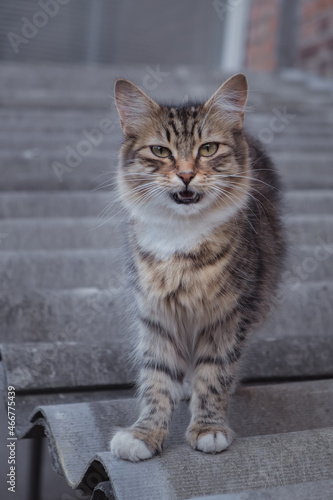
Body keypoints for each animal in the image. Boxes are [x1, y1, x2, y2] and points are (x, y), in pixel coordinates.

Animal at [108, 73, 282, 460]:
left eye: (208, 149)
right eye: (160, 151)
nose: (186, 175)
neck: (181, 238)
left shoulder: (229, 315)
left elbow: (214, 375)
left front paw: (208, 428)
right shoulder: (155, 315)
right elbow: (156, 378)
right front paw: (145, 434)